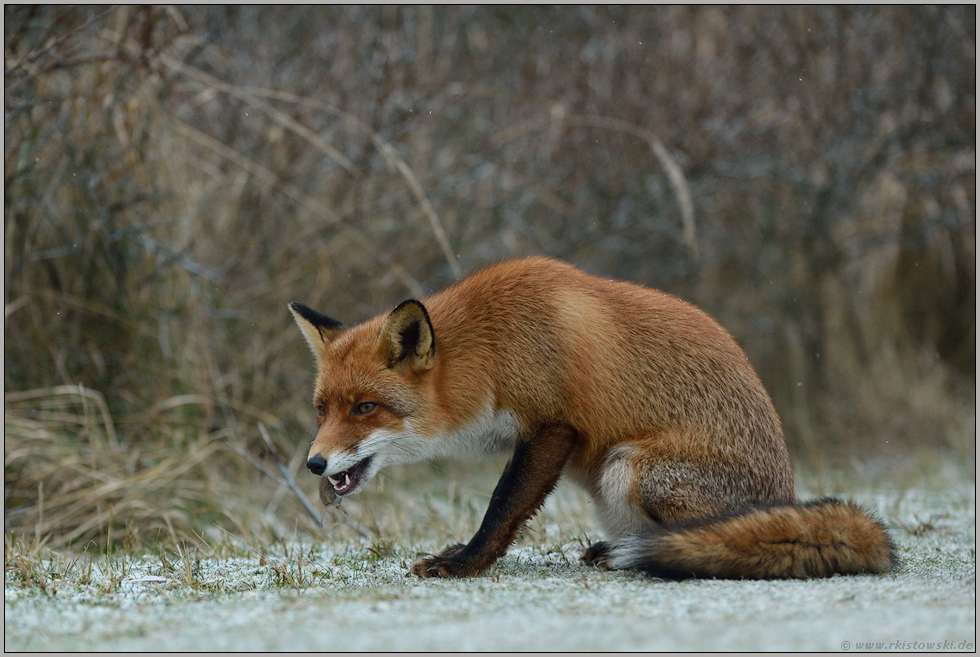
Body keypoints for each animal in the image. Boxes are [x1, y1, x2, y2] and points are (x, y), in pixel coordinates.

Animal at [288, 256, 892, 580]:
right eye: (322, 409)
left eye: (365, 408)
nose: (315, 464)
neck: (492, 351)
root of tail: (786, 495)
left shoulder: (552, 426)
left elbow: (502, 506)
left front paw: (466, 563)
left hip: (630, 467)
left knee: (715, 542)